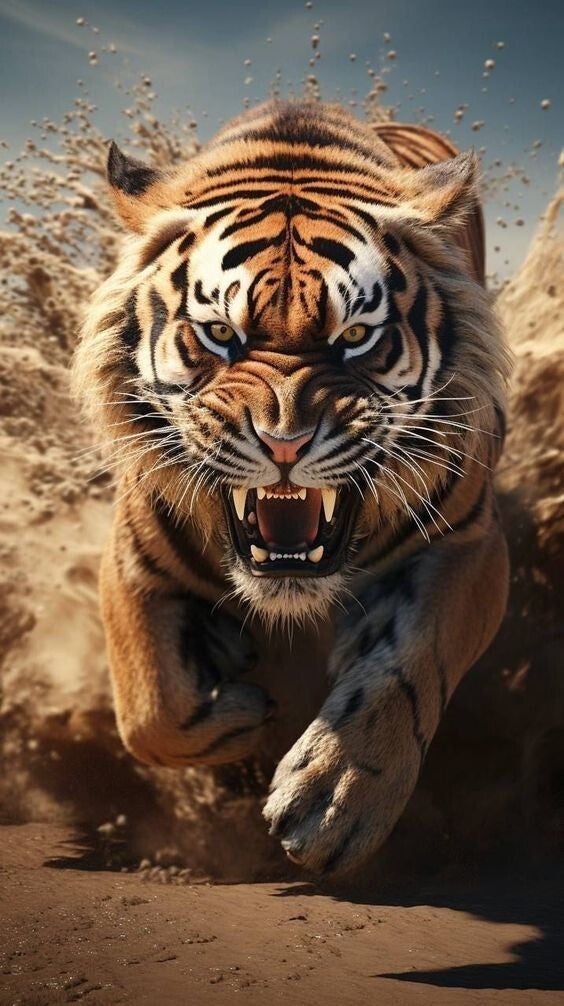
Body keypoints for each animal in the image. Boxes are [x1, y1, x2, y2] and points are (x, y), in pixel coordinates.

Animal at [73, 100, 511, 877]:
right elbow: (149, 709)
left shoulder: (471, 543)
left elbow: (409, 663)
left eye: (357, 336)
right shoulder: (131, 560)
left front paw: (338, 799)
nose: (284, 443)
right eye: (218, 334)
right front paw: (245, 718)